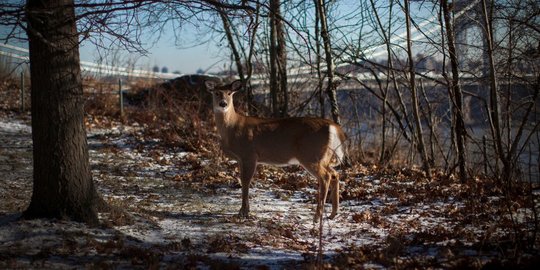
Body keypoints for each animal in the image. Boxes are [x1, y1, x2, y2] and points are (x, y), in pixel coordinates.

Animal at [207, 79, 346, 221]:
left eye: (229, 93)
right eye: (217, 92)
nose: (223, 103)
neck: (232, 128)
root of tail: (334, 127)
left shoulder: (249, 154)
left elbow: (245, 182)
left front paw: (243, 212)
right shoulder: (241, 159)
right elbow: (243, 180)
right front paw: (244, 211)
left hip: (311, 154)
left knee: (325, 177)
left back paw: (317, 216)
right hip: (324, 157)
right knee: (335, 174)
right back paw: (333, 214)